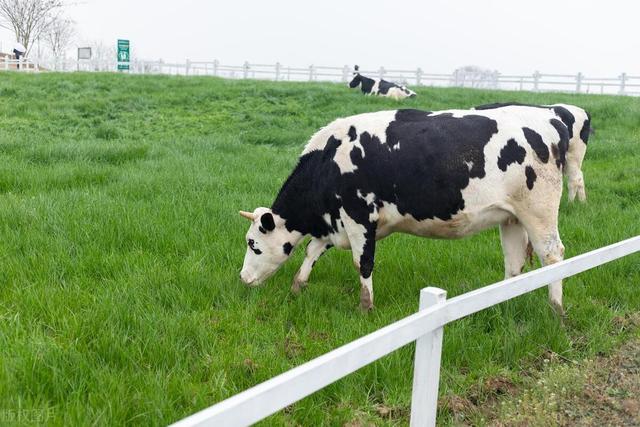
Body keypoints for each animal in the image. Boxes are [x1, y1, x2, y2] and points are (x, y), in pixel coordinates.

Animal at [240, 107, 568, 314]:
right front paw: (297, 287)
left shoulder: (359, 217)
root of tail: (551, 117)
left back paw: (556, 309)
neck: (329, 161)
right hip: (511, 217)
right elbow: (311, 251)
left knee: (552, 255)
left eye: (253, 244)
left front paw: (366, 307)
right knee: (514, 263)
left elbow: (363, 263)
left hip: (538, 212)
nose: (243, 278)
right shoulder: (335, 222)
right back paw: (502, 301)